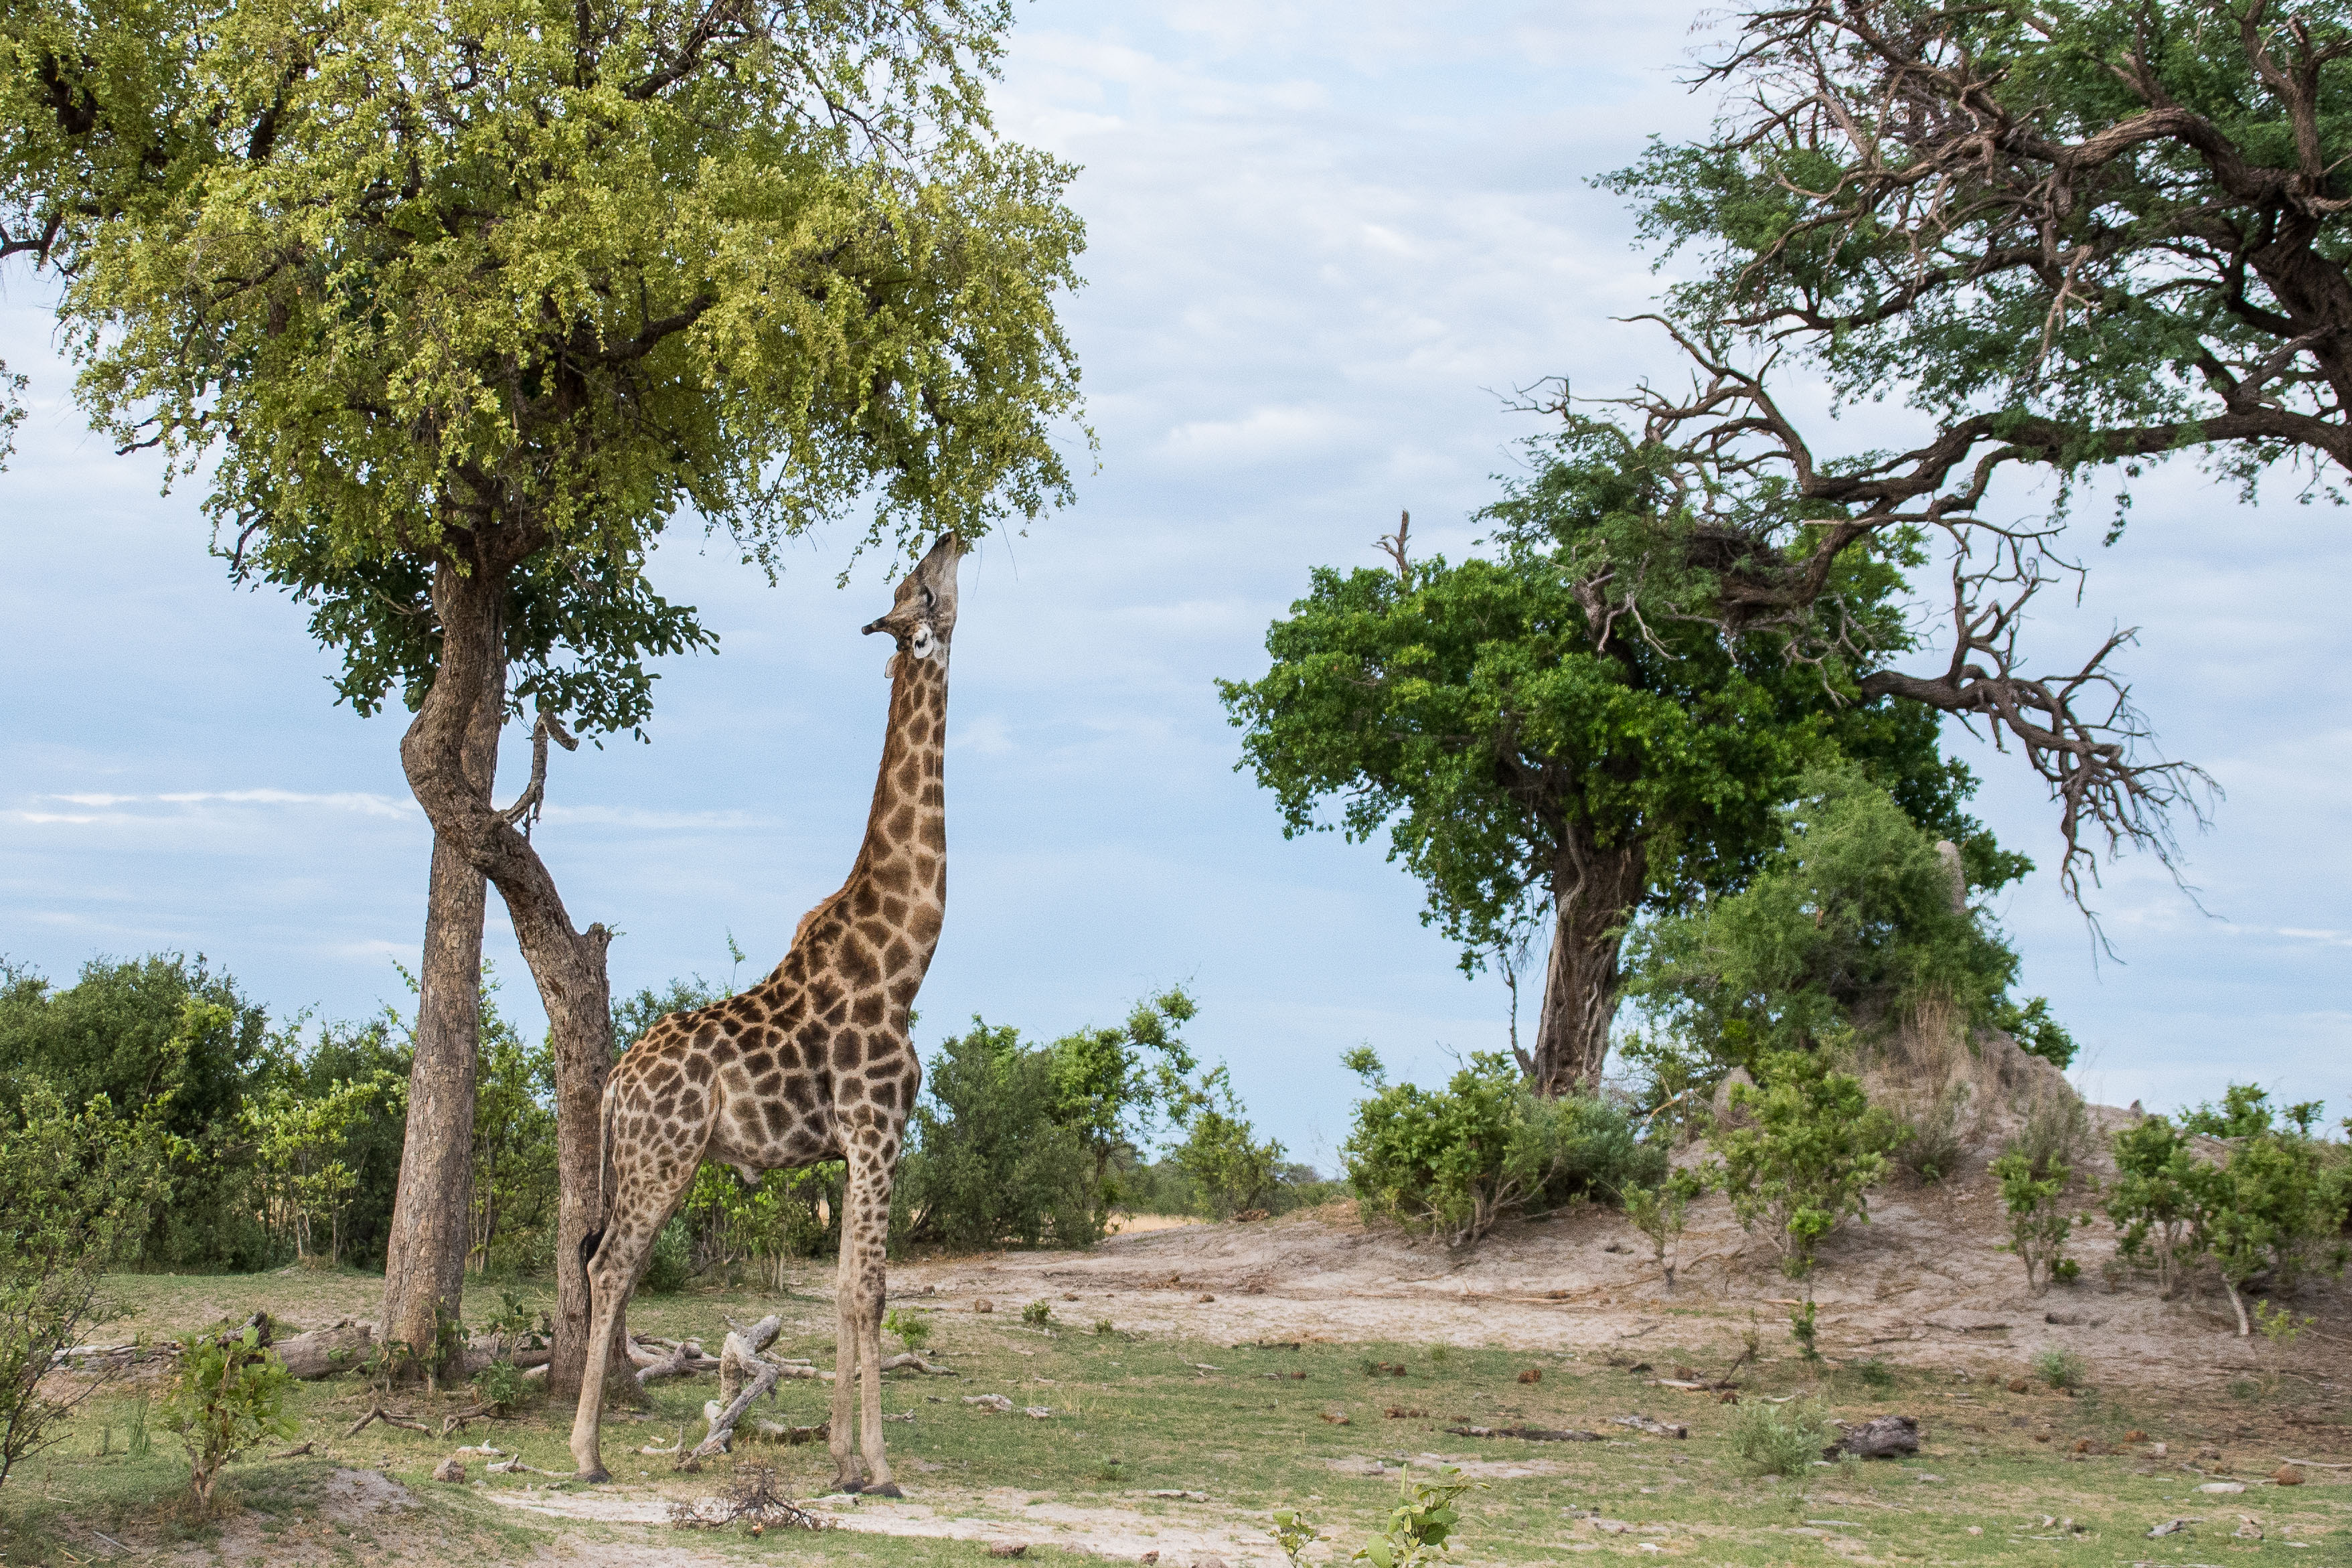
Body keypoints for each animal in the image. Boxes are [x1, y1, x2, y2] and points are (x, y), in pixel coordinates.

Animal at [569, 534, 964, 1495]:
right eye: (924, 587)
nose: (951, 535)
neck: (905, 961)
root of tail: (613, 1083)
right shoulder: (878, 1126)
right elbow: (873, 1291)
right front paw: (881, 1467)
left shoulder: (857, 1143)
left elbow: (848, 1290)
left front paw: (842, 1459)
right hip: (662, 1156)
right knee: (609, 1264)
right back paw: (586, 1452)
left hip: (649, 1159)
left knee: (607, 1263)